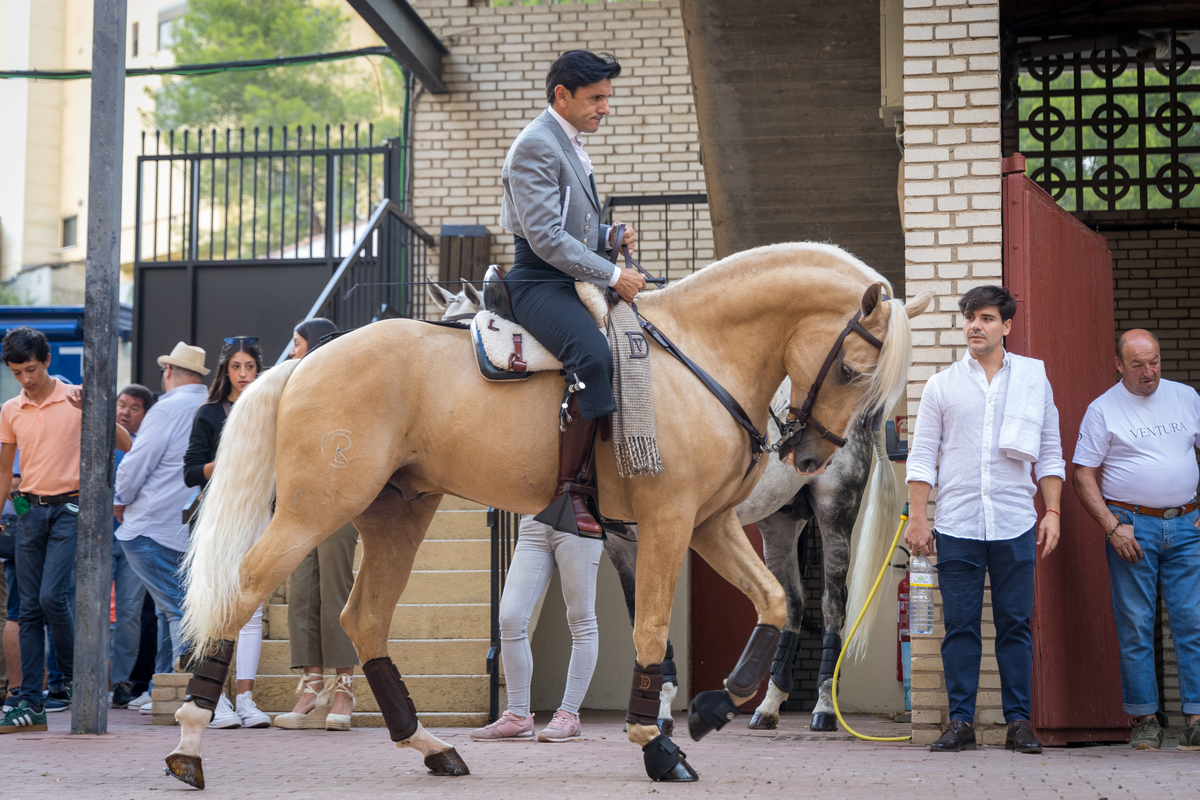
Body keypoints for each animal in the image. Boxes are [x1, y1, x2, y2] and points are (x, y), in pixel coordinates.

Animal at [166, 241, 926, 786]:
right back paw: (191, 739)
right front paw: (658, 740)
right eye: (855, 369)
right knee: (247, 587)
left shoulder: (706, 525)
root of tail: (306, 362)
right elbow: (653, 627)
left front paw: (713, 706)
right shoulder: (668, 524)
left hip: (397, 515)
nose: (809, 453)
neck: (698, 355)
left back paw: (430, 745)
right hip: (317, 508)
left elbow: (767, 602)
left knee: (365, 619)